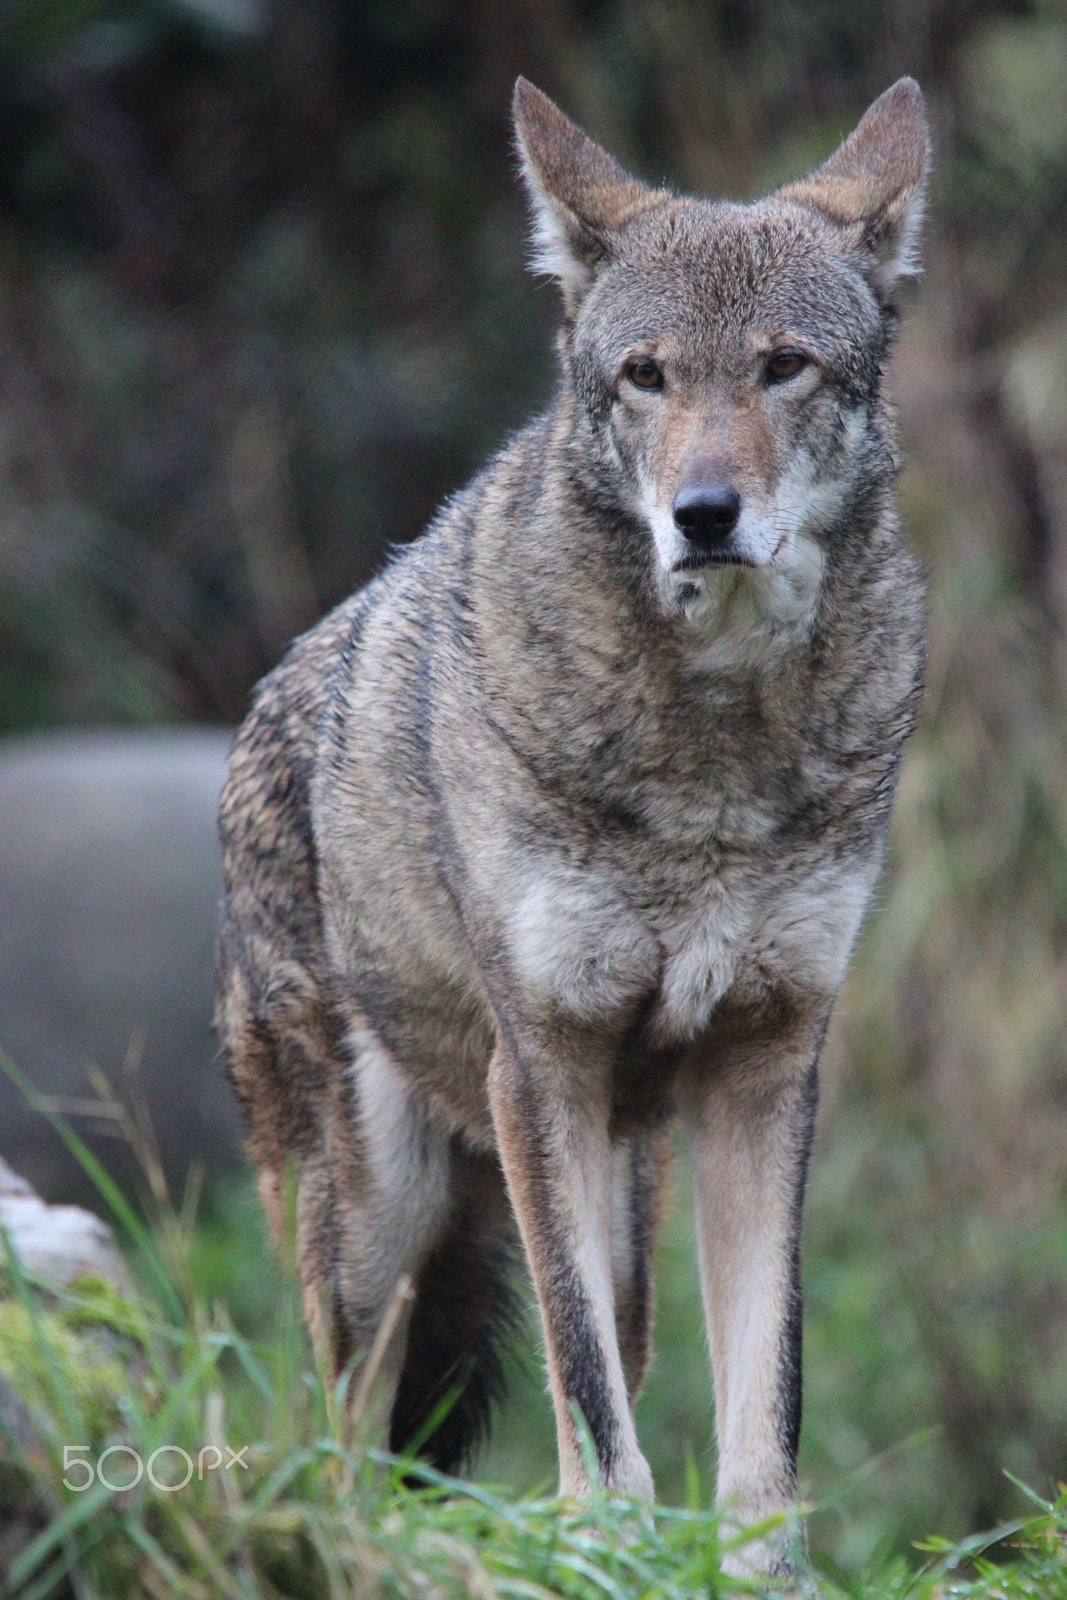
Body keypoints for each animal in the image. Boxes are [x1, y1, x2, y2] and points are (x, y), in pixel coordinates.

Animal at [216, 75, 928, 1570]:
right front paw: (604, 1547)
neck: (712, 757)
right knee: (339, 1439)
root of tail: (267, 702)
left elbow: (760, 1406)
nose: (702, 514)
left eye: (781, 367)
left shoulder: (768, 1065)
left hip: (620, 1189)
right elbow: (587, 1403)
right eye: (644, 376)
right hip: (376, 1228)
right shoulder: (535, 1061)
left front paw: (753, 1573)